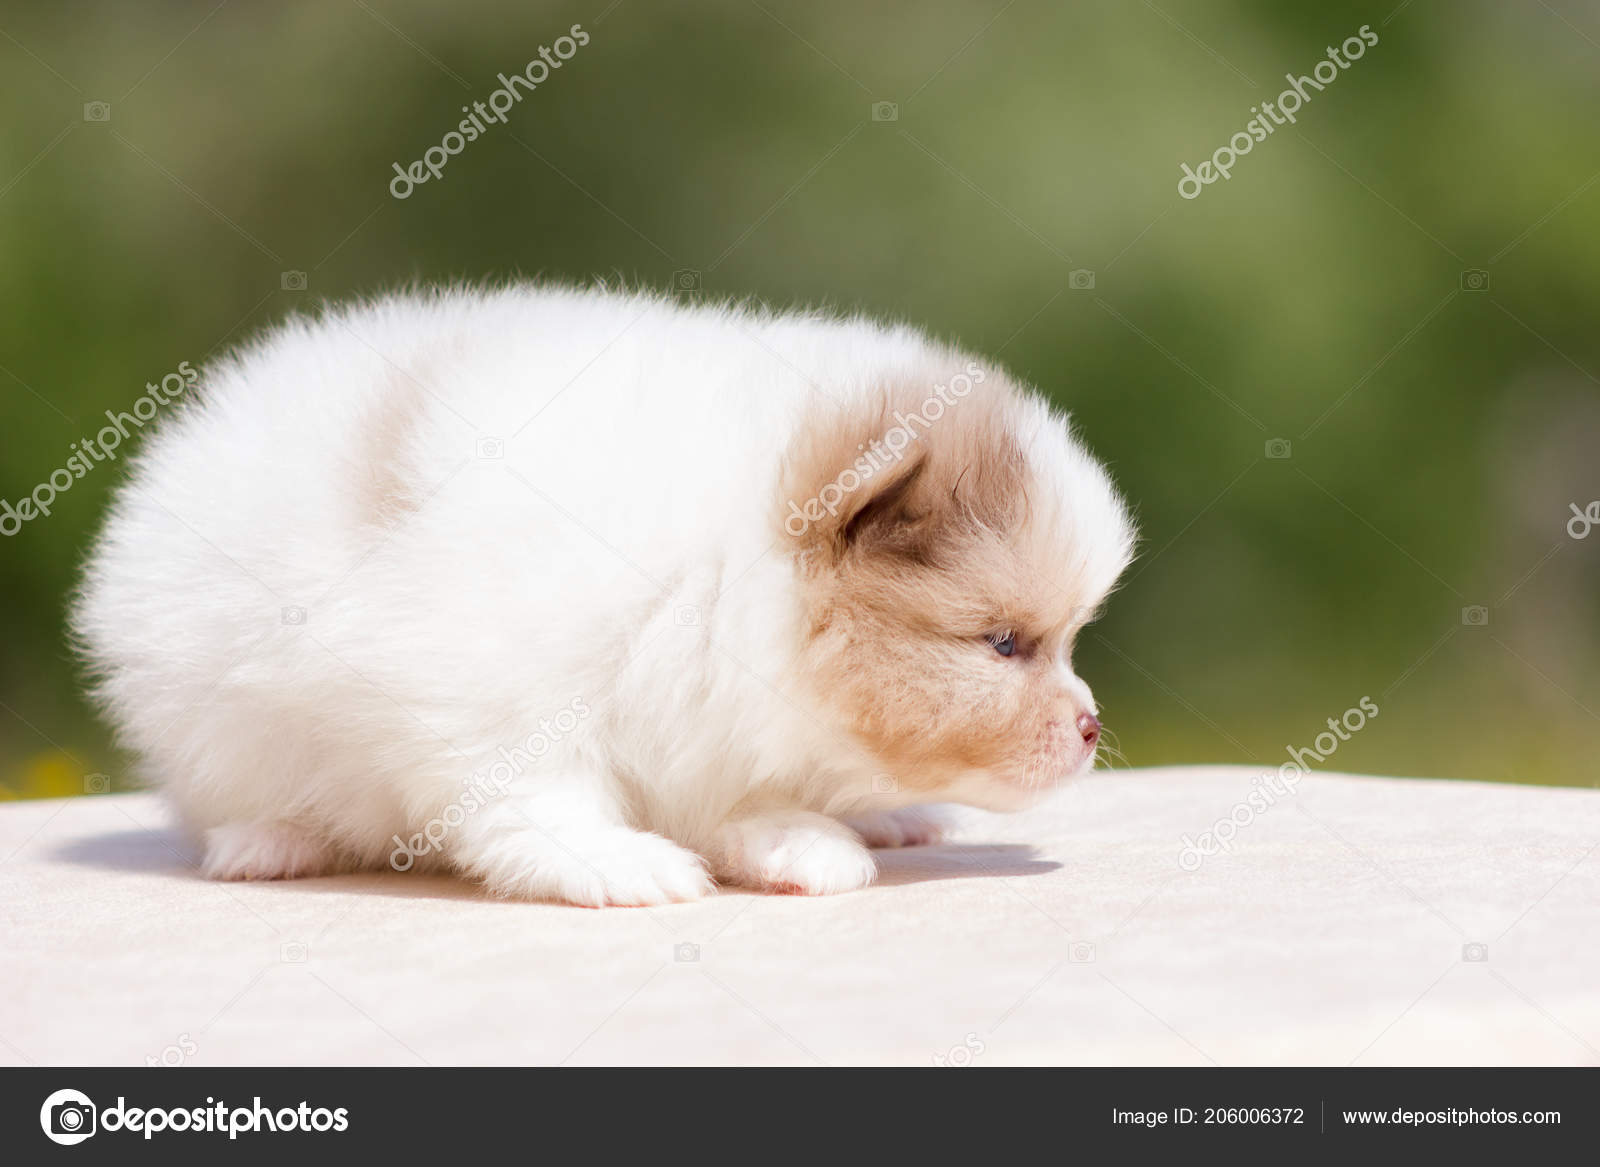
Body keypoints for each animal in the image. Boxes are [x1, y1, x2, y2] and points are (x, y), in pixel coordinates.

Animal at [68, 286, 1132, 902]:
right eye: (1003, 643)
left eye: (1067, 640)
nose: (1090, 725)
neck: (725, 575)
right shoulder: (495, 680)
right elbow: (539, 791)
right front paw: (620, 862)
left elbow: (737, 790)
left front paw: (792, 836)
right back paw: (273, 838)